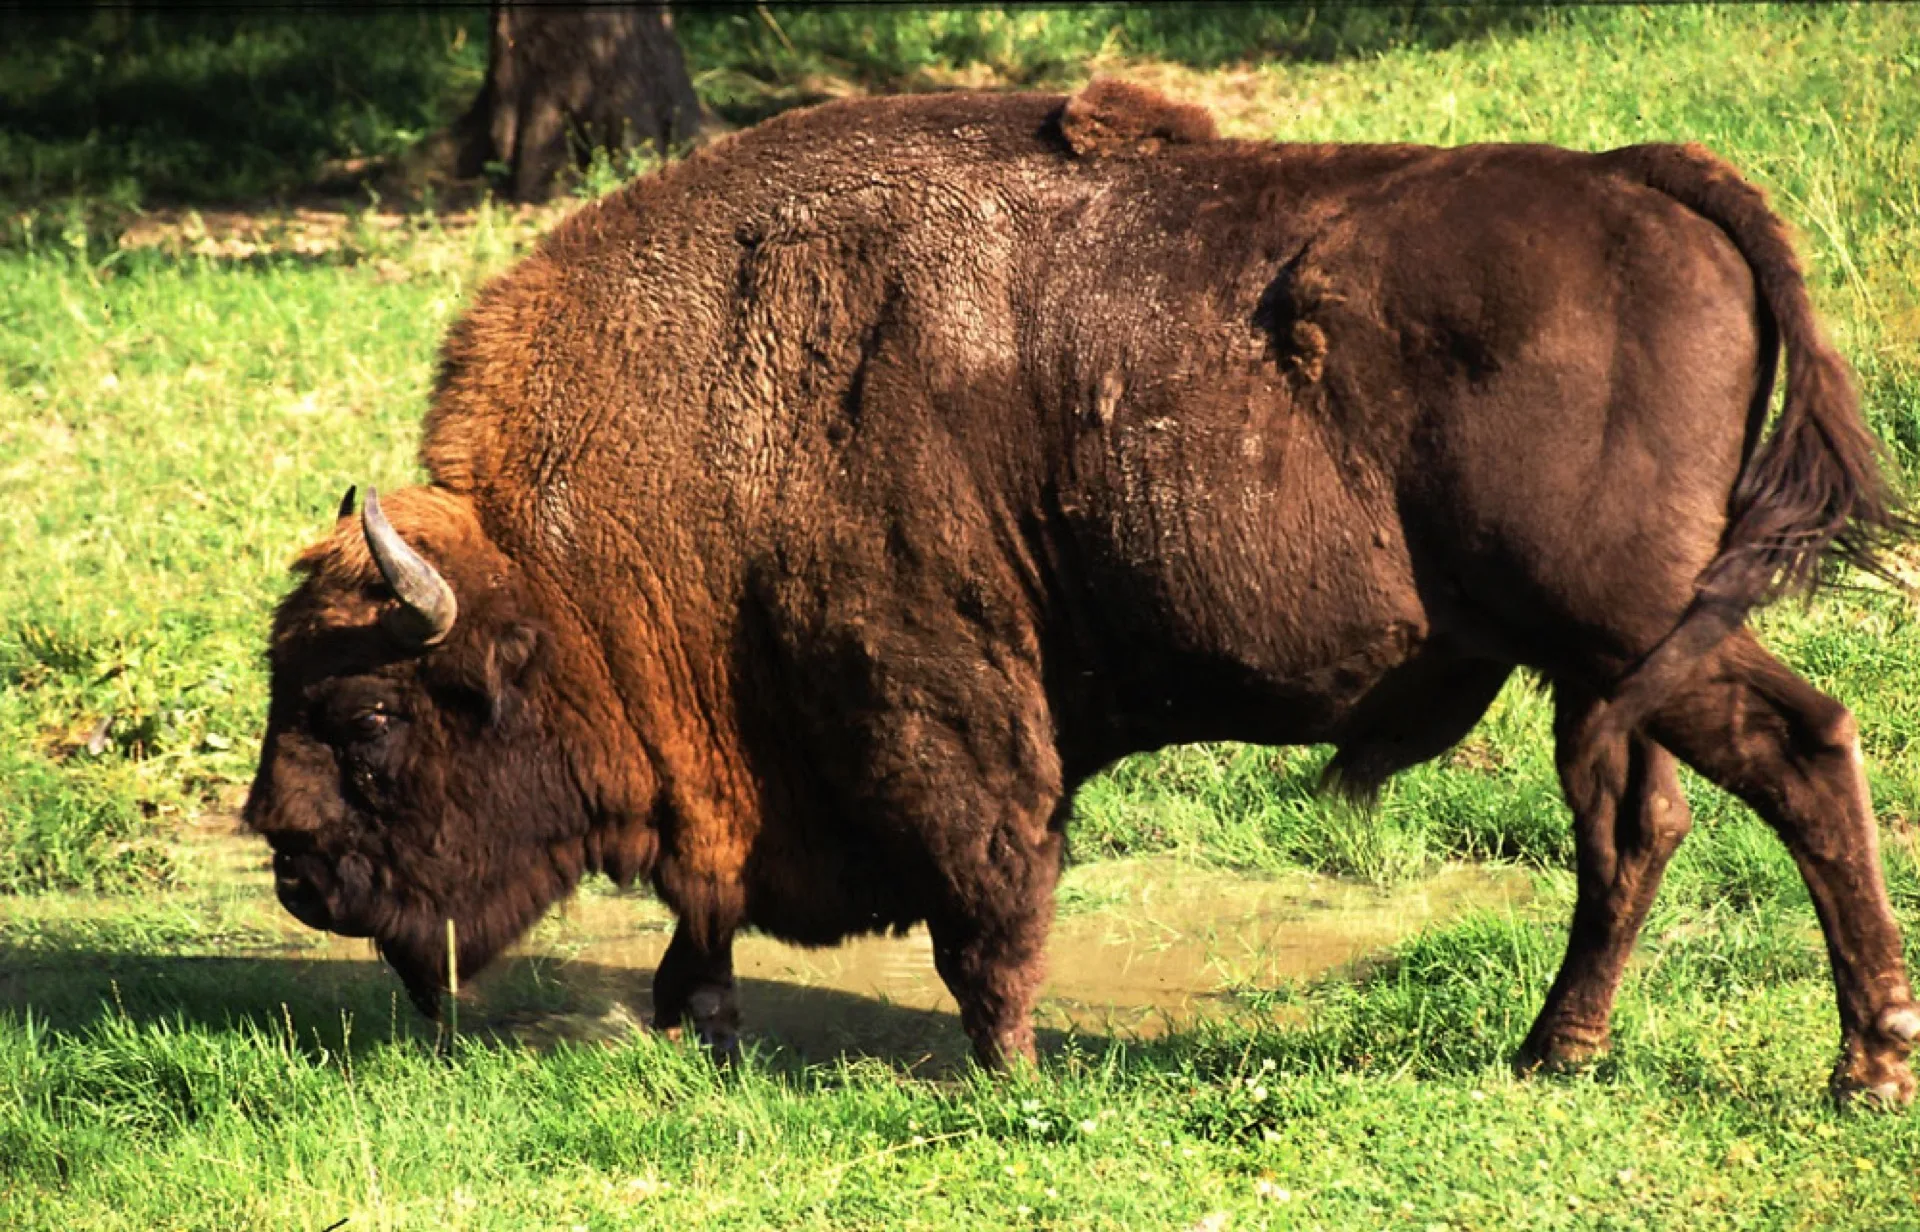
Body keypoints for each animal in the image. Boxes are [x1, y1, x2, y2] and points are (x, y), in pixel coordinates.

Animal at [246, 80, 1919, 1102]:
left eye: (372, 718)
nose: (290, 862)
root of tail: (1647, 184)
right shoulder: (731, 765)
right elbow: (711, 905)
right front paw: (697, 1022)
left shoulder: (934, 701)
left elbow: (990, 892)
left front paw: (1008, 1072)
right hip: (1598, 667)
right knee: (1637, 825)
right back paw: (1554, 1055)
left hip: (1642, 630)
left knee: (1803, 751)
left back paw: (1865, 1066)